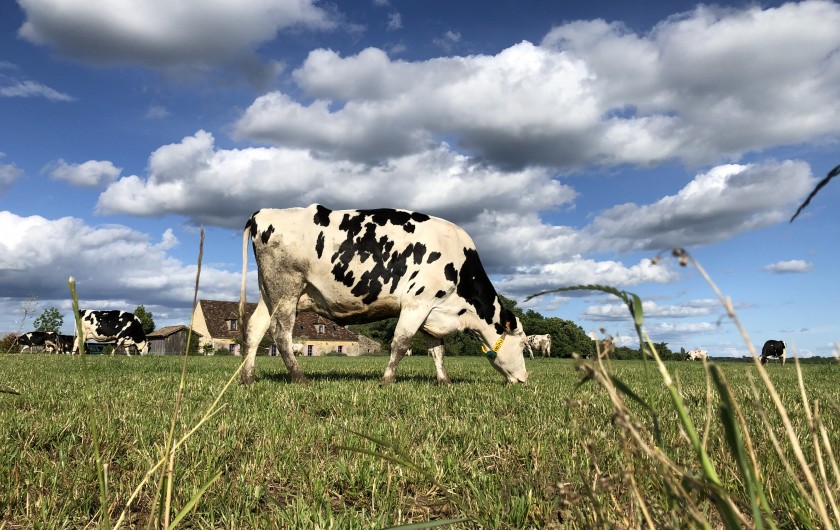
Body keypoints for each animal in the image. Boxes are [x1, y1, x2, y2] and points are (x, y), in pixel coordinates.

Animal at [239, 205, 529, 386]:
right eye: (523, 345)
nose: (525, 379)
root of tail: (263, 213)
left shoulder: (432, 311)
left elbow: (437, 350)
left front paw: (444, 382)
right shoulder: (417, 302)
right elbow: (400, 343)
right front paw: (387, 380)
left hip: (270, 293)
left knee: (255, 328)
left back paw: (248, 378)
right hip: (286, 288)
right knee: (281, 334)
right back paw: (299, 378)